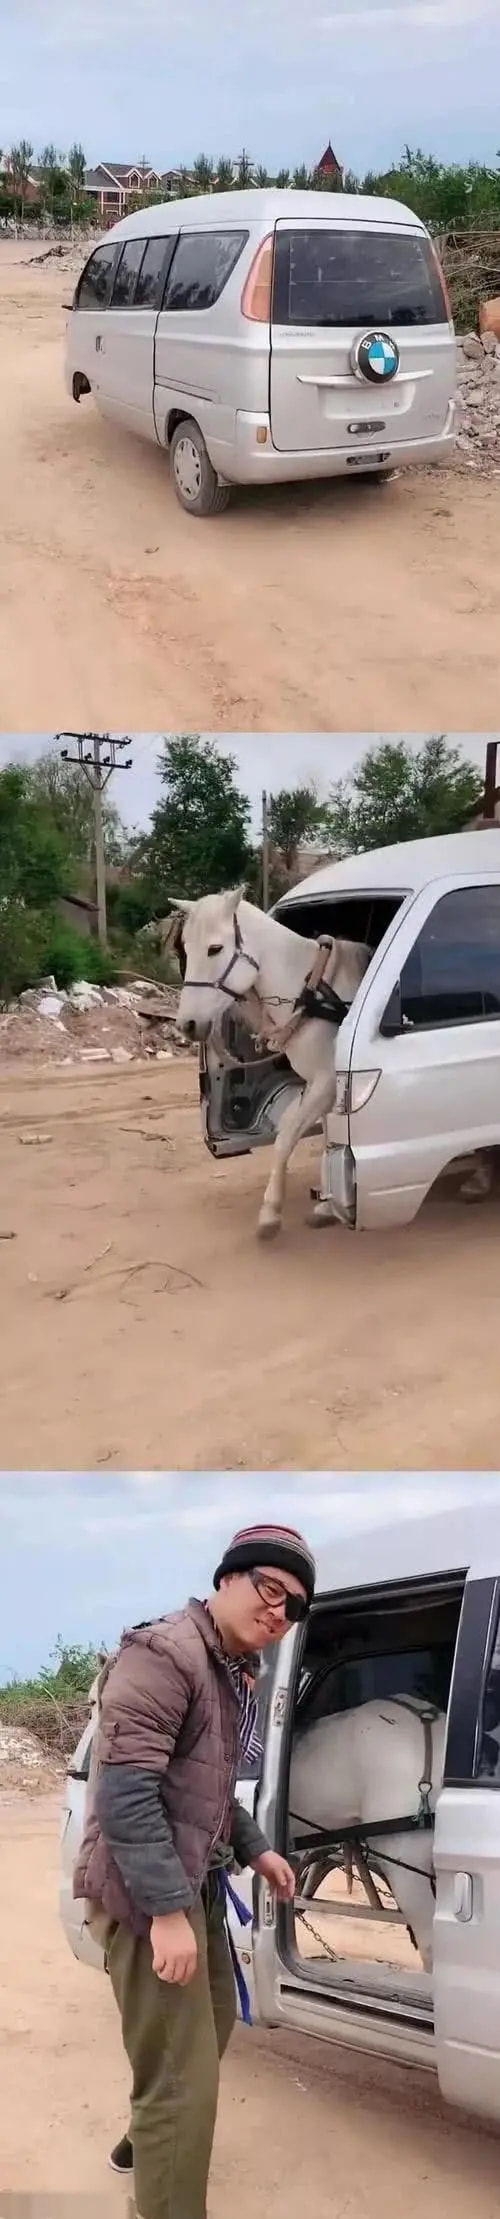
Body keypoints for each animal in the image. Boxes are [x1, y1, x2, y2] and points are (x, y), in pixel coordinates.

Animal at [172, 887, 371, 1242]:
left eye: (214, 949)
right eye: (185, 950)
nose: (187, 1025)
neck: (310, 992)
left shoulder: (325, 1083)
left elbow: (287, 1134)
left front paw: (270, 1213)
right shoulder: (323, 1087)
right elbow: (328, 1137)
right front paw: (326, 1205)